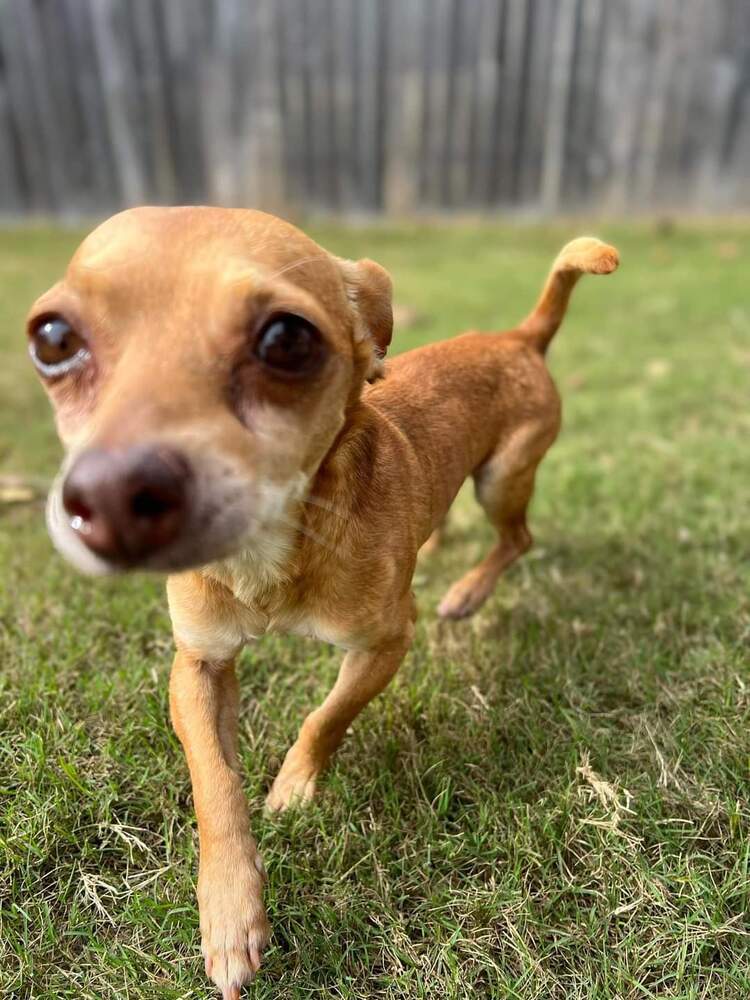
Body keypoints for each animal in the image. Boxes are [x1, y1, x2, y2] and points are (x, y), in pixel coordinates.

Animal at [26, 207, 620, 996]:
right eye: (53, 340)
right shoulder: (198, 666)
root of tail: (517, 336)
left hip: (504, 478)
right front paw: (229, 910)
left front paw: (294, 788)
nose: (113, 498)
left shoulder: (384, 646)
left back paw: (466, 591)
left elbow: (325, 716)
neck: (272, 561)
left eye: (286, 340)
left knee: (518, 537)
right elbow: (215, 783)